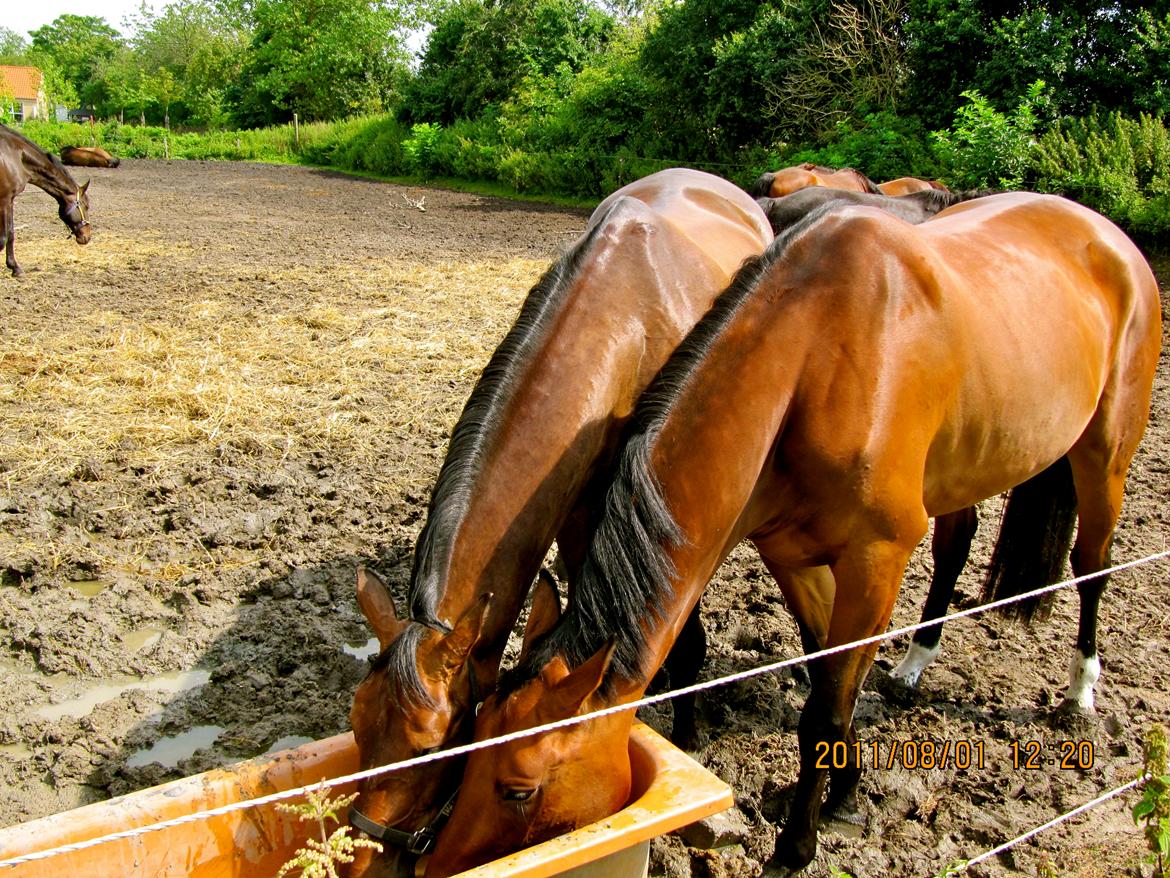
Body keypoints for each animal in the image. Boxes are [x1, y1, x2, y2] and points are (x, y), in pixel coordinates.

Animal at [0, 122, 91, 276]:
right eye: (86, 206)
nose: (87, 236)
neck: (15, 155)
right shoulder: (4, 200)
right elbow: (4, 237)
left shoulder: (10, 200)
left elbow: (11, 233)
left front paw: (15, 268)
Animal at [423, 190, 1160, 875]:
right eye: (468, 743)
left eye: (518, 788)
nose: (435, 861)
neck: (816, 360)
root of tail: (1105, 232)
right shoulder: (793, 554)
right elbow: (828, 675)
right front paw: (848, 793)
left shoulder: (877, 559)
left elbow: (825, 711)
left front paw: (799, 842)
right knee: (958, 546)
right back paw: (915, 666)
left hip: (1106, 456)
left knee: (1093, 564)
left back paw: (1081, 688)